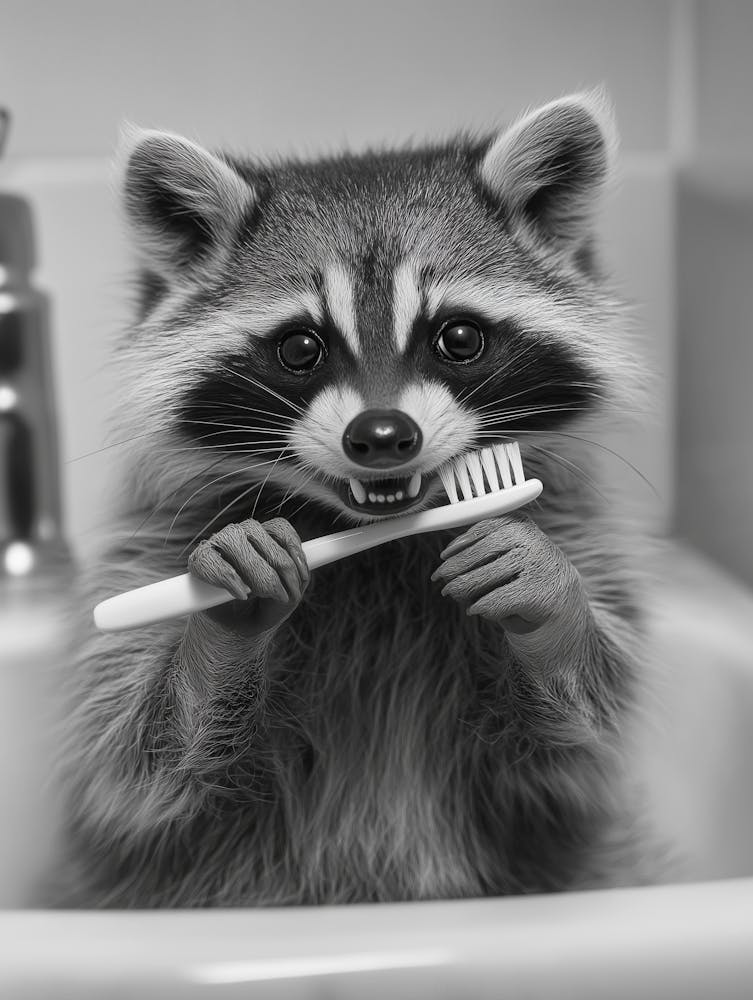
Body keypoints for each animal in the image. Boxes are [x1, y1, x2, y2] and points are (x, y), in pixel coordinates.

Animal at [56, 91, 652, 907]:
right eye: (301, 348)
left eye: (457, 338)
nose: (382, 435)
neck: (378, 542)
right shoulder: (153, 541)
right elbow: (136, 757)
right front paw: (223, 627)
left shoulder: (582, 531)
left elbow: (573, 748)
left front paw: (549, 603)